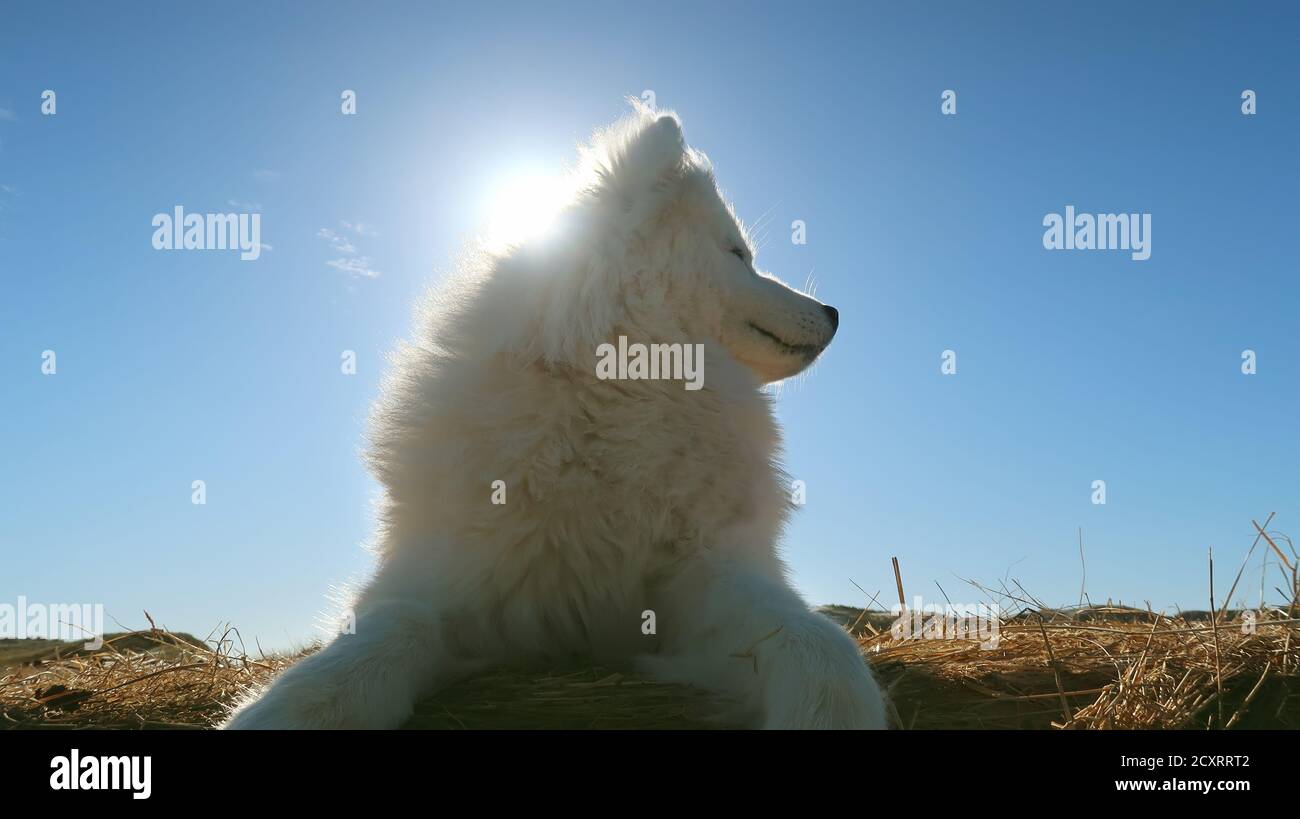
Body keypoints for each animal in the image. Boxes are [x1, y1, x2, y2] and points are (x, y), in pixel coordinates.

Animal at [228, 104, 889, 733]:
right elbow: (392, 627)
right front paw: (292, 706)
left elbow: (814, 636)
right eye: (738, 253)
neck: (621, 402)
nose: (833, 312)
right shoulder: (450, 581)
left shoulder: (705, 583)